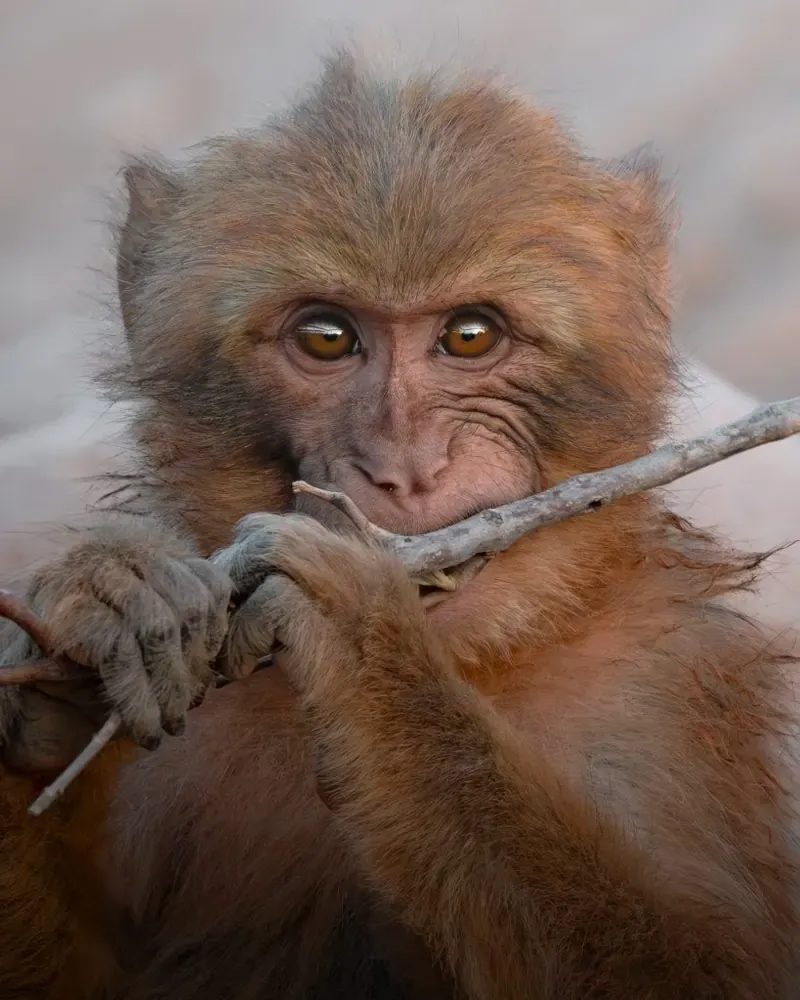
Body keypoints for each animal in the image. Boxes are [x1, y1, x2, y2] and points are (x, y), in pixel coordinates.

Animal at [1, 48, 799, 999]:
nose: (406, 465)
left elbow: (706, 972)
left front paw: (364, 640)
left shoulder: (672, 681)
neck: (488, 656)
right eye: (326, 338)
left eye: (469, 335)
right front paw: (95, 613)